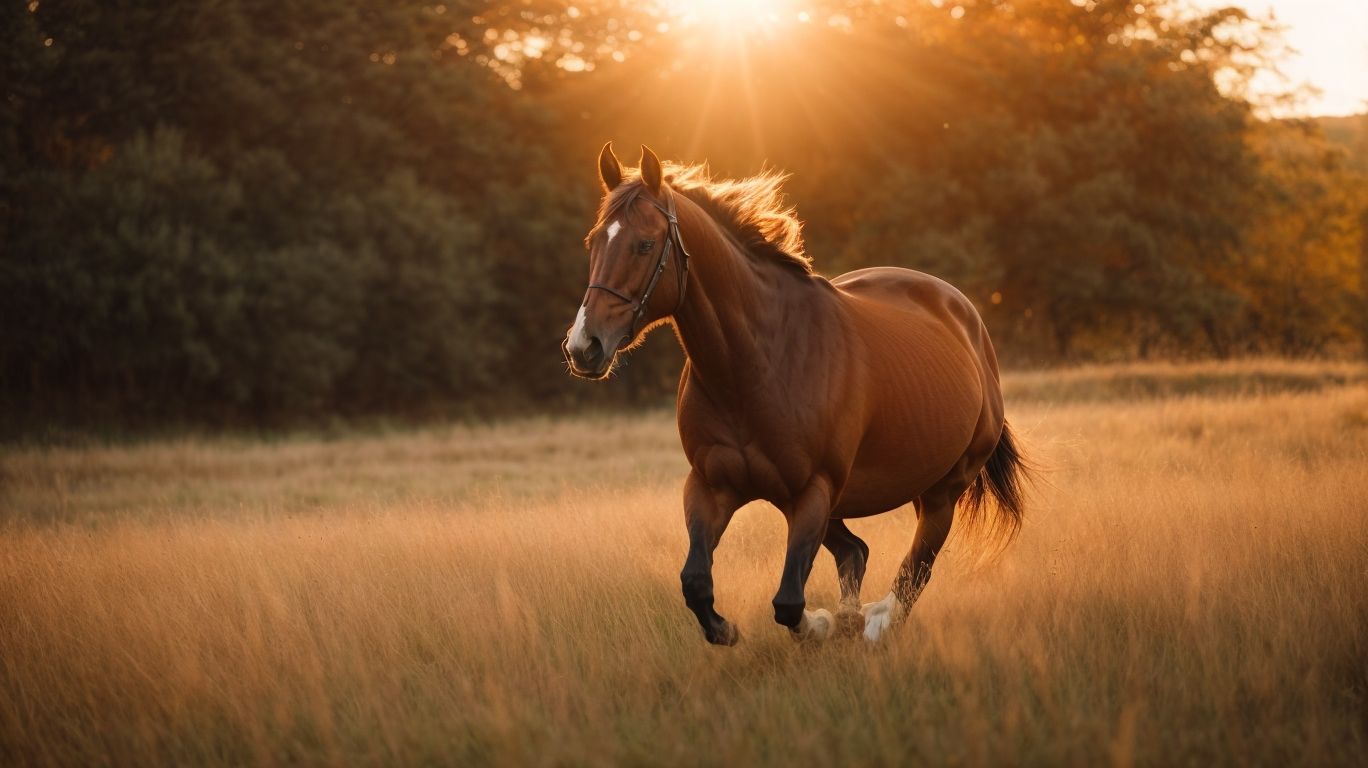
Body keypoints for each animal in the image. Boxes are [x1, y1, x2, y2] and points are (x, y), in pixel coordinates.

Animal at [562, 143, 1028, 644]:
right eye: (593, 242)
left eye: (645, 244)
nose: (584, 347)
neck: (754, 366)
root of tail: (966, 319)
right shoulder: (711, 486)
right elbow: (696, 584)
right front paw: (732, 629)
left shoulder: (811, 492)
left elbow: (788, 602)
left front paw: (823, 624)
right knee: (856, 552)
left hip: (940, 491)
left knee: (914, 570)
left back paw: (873, 624)